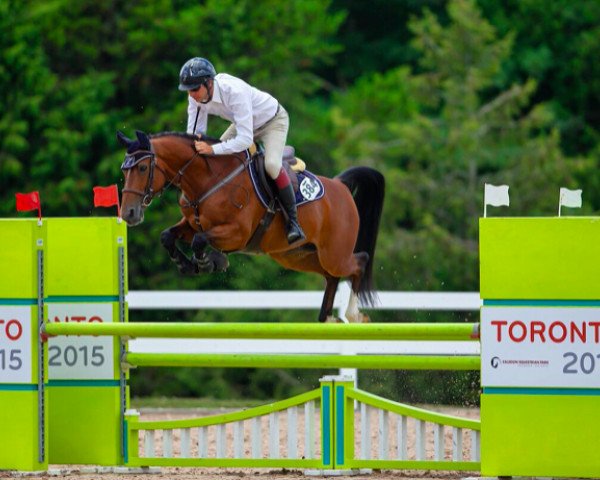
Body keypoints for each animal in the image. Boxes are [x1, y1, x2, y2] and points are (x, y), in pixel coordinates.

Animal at [116, 130, 384, 322]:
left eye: (142, 168)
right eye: (124, 170)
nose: (128, 214)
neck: (208, 179)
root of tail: (340, 186)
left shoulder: (237, 233)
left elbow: (201, 240)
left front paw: (209, 263)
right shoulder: (191, 224)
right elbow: (167, 236)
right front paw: (186, 264)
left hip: (334, 254)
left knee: (358, 262)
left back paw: (353, 314)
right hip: (297, 256)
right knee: (331, 276)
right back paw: (328, 318)